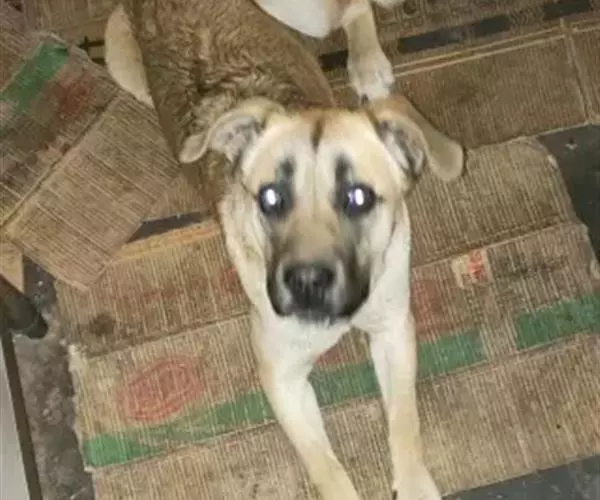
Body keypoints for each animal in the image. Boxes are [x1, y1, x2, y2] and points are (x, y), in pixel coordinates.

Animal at [105, 1, 464, 498]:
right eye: (271, 198)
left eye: (358, 197)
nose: (307, 282)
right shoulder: (282, 378)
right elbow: (325, 466)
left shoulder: (394, 327)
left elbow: (405, 422)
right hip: (117, 54)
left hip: (306, 14)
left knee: (351, 10)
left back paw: (368, 65)